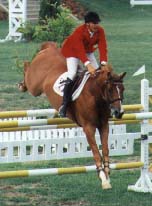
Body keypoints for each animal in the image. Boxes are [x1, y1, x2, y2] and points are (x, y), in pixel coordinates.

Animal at [18, 41, 126, 190]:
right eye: (110, 90)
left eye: (122, 89)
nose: (119, 113)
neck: (94, 95)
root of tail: (49, 48)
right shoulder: (88, 128)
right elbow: (95, 151)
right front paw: (103, 178)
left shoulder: (104, 126)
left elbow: (105, 149)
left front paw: (107, 174)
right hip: (34, 85)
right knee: (27, 69)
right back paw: (22, 83)